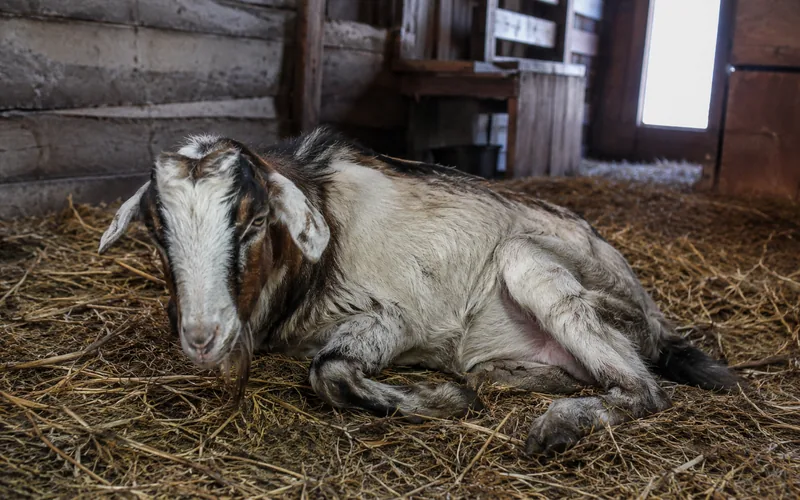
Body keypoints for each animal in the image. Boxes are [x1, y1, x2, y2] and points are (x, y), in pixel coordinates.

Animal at [99, 128, 737, 455]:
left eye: (254, 221)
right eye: (155, 232)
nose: (202, 336)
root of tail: (653, 316)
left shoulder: (394, 316)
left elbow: (327, 372)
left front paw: (446, 400)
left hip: (536, 267)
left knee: (645, 390)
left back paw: (551, 427)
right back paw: (505, 379)